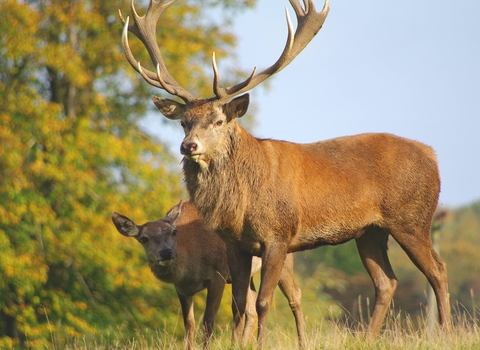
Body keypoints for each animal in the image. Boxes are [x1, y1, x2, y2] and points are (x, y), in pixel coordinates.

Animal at [111, 201, 304, 348]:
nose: (166, 253)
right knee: (251, 310)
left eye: (174, 232)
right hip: (247, 273)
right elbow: (189, 323)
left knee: (295, 295)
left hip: (283, 258)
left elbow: (208, 320)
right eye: (144, 238)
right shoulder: (181, 288)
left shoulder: (217, 275)